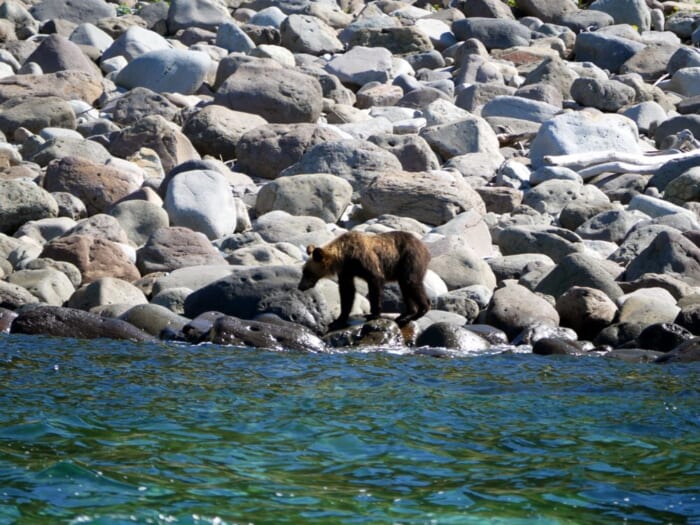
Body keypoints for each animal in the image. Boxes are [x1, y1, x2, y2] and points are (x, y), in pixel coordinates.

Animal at [296, 230, 430, 330]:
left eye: (307, 272)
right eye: (304, 271)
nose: (300, 286)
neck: (345, 256)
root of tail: (424, 246)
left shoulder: (365, 261)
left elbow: (375, 281)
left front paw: (373, 314)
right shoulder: (346, 271)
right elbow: (347, 291)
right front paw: (338, 320)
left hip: (409, 258)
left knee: (411, 282)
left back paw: (422, 309)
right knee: (405, 287)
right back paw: (405, 315)